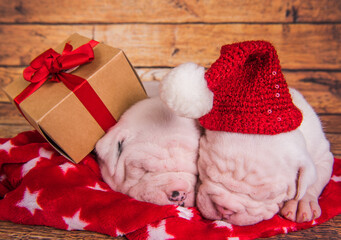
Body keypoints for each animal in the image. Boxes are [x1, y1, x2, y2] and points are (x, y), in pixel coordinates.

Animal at [159, 40, 332, 226]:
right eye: (206, 171)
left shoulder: (323, 155)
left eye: (267, 196)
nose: (225, 208)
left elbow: (315, 179)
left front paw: (302, 202)